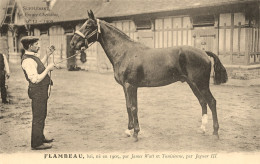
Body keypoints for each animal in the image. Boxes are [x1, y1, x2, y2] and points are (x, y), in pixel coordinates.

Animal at [70, 10, 228, 141]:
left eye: (89, 25)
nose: (72, 43)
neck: (125, 52)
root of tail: (204, 52)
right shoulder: (125, 87)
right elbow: (128, 106)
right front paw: (129, 130)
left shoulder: (131, 86)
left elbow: (134, 107)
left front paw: (135, 133)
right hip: (192, 83)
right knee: (202, 102)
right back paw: (202, 129)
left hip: (201, 84)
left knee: (212, 102)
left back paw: (215, 133)